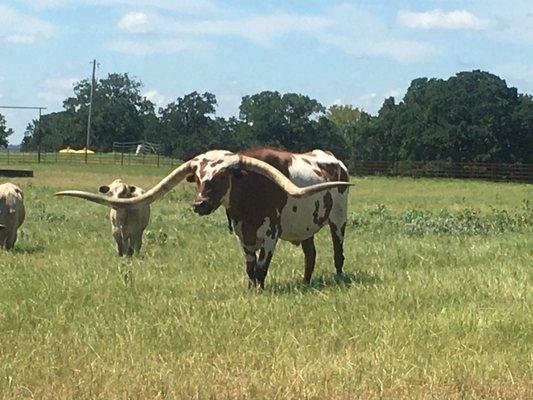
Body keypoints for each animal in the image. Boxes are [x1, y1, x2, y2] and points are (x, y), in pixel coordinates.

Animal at [56, 148, 352, 288]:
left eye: (223, 177)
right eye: (197, 178)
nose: (200, 204)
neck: (251, 191)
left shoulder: (270, 234)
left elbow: (261, 268)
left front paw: (260, 290)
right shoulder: (242, 234)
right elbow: (250, 268)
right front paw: (251, 289)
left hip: (338, 220)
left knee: (338, 252)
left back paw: (338, 277)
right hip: (305, 227)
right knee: (310, 254)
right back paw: (305, 281)